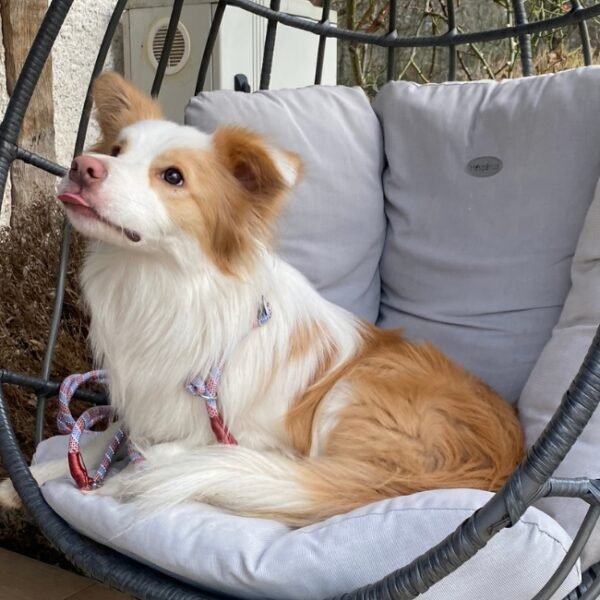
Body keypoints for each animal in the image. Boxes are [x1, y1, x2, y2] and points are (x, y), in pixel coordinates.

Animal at [0, 74, 524, 524]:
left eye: (173, 177)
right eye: (115, 150)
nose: (82, 167)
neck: (161, 281)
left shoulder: (264, 440)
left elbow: (198, 449)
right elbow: (92, 444)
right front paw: (27, 482)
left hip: (350, 395)